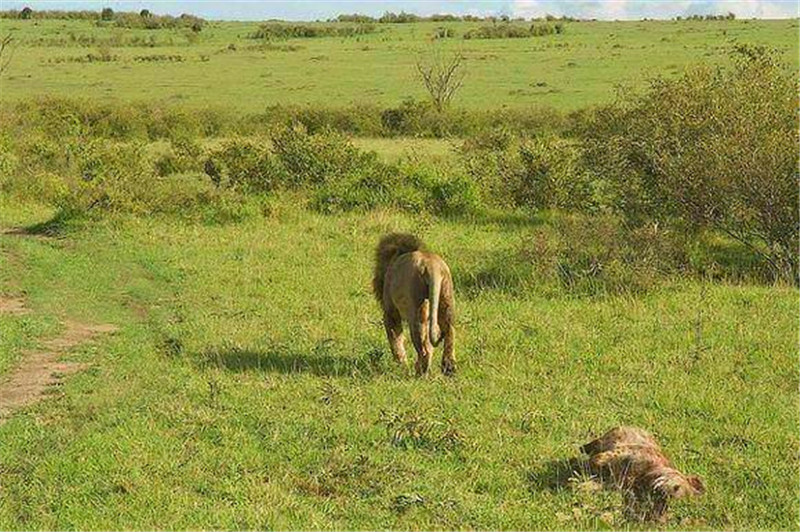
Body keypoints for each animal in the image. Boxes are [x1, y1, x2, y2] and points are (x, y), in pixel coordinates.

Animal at [372, 235, 454, 376]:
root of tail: (431, 266)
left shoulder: (390, 312)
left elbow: (395, 338)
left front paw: (401, 364)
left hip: (417, 308)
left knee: (424, 348)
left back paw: (420, 372)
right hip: (445, 297)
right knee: (449, 331)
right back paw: (448, 368)